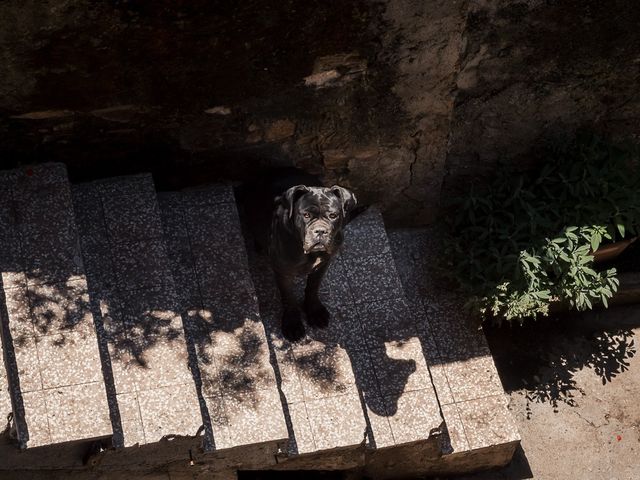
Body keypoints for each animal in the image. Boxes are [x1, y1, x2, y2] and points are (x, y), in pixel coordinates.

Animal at [242, 169, 358, 342]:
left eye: (333, 216)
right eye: (306, 215)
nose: (320, 231)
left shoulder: (323, 265)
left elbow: (313, 287)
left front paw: (314, 311)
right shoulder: (284, 273)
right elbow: (289, 298)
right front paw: (292, 323)